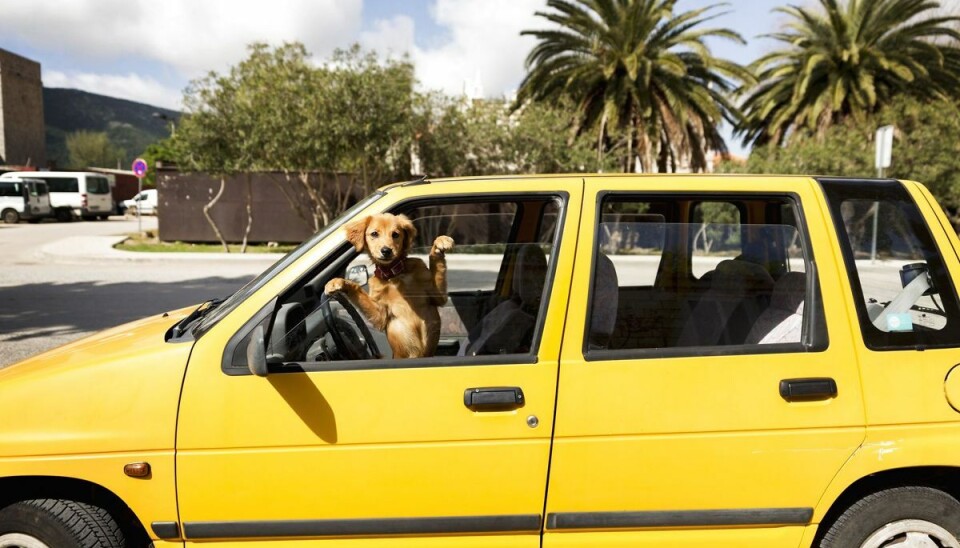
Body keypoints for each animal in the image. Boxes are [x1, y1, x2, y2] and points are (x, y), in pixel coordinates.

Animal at [326, 213, 454, 360]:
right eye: (374, 234)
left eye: (395, 234)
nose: (386, 251)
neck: (394, 275)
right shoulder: (380, 314)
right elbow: (357, 290)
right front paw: (340, 282)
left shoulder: (437, 295)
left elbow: (436, 264)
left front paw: (440, 243)